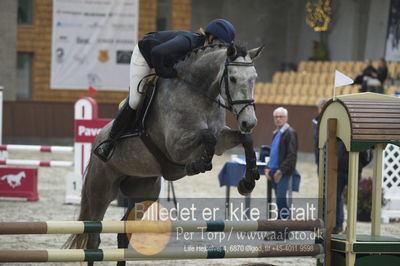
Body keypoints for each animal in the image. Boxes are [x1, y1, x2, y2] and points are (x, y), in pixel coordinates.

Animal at [65, 43, 264, 264]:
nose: (249, 122)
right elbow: (207, 136)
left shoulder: (221, 138)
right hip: (101, 191)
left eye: (254, 78)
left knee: (123, 231)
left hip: (144, 192)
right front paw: (198, 164)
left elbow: (244, 140)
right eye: (233, 78)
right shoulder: (175, 146)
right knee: (93, 237)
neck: (199, 92)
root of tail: (97, 141)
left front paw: (247, 182)